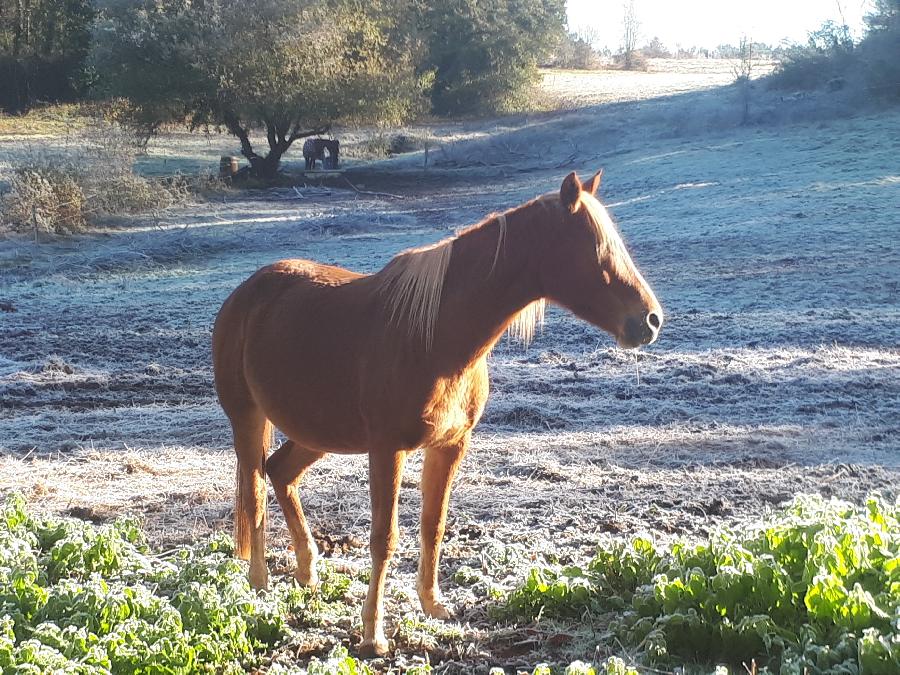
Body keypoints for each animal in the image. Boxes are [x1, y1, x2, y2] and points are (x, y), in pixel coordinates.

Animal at [211, 172, 660, 656]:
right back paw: (260, 583)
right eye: (596, 251)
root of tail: (245, 294)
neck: (436, 333)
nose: (650, 320)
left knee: (280, 473)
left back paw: (308, 570)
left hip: (317, 432)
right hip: (248, 420)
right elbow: (384, 538)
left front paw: (433, 604)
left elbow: (434, 524)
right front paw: (373, 634)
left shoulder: (450, 445)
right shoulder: (387, 450)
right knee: (255, 493)